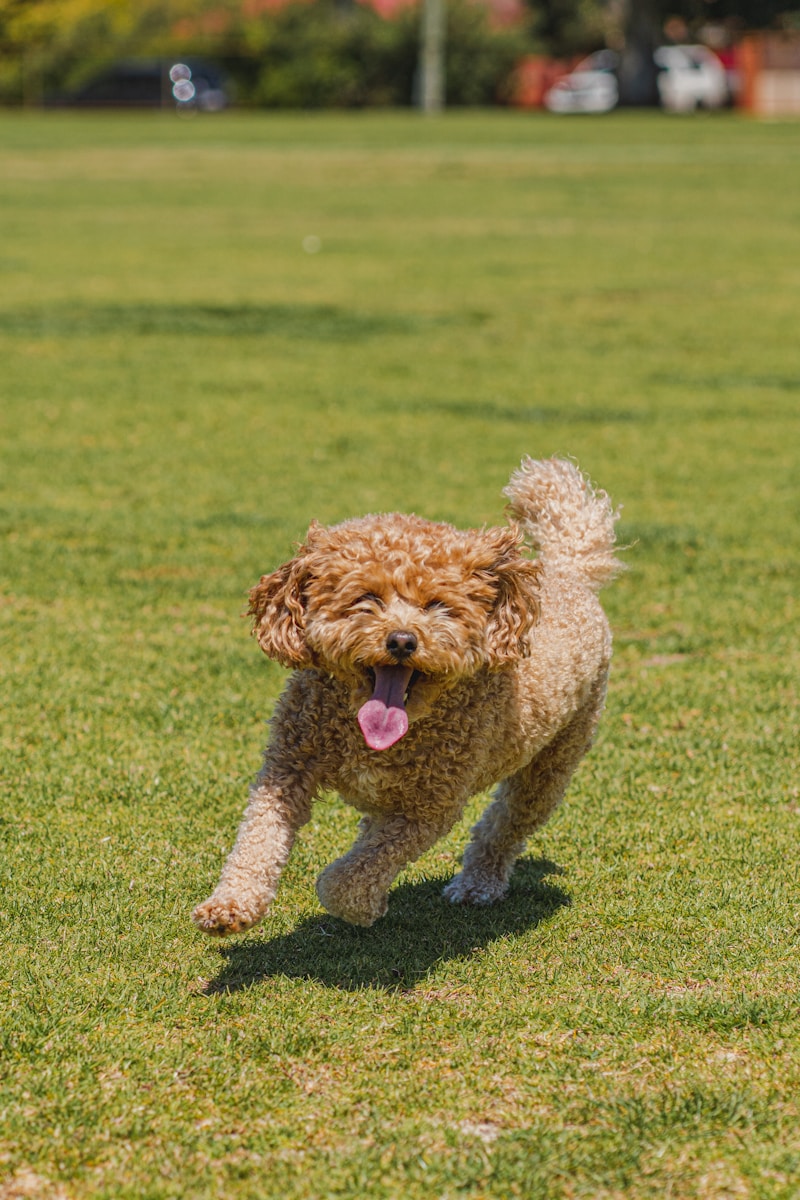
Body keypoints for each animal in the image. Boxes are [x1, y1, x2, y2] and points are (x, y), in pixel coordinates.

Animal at [194, 453, 618, 931]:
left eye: (438, 606)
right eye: (366, 598)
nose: (401, 640)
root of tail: (569, 571)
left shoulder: (429, 809)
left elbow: (355, 874)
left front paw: (360, 904)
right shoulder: (287, 768)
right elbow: (258, 837)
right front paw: (230, 904)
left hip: (554, 761)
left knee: (503, 826)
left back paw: (478, 884)